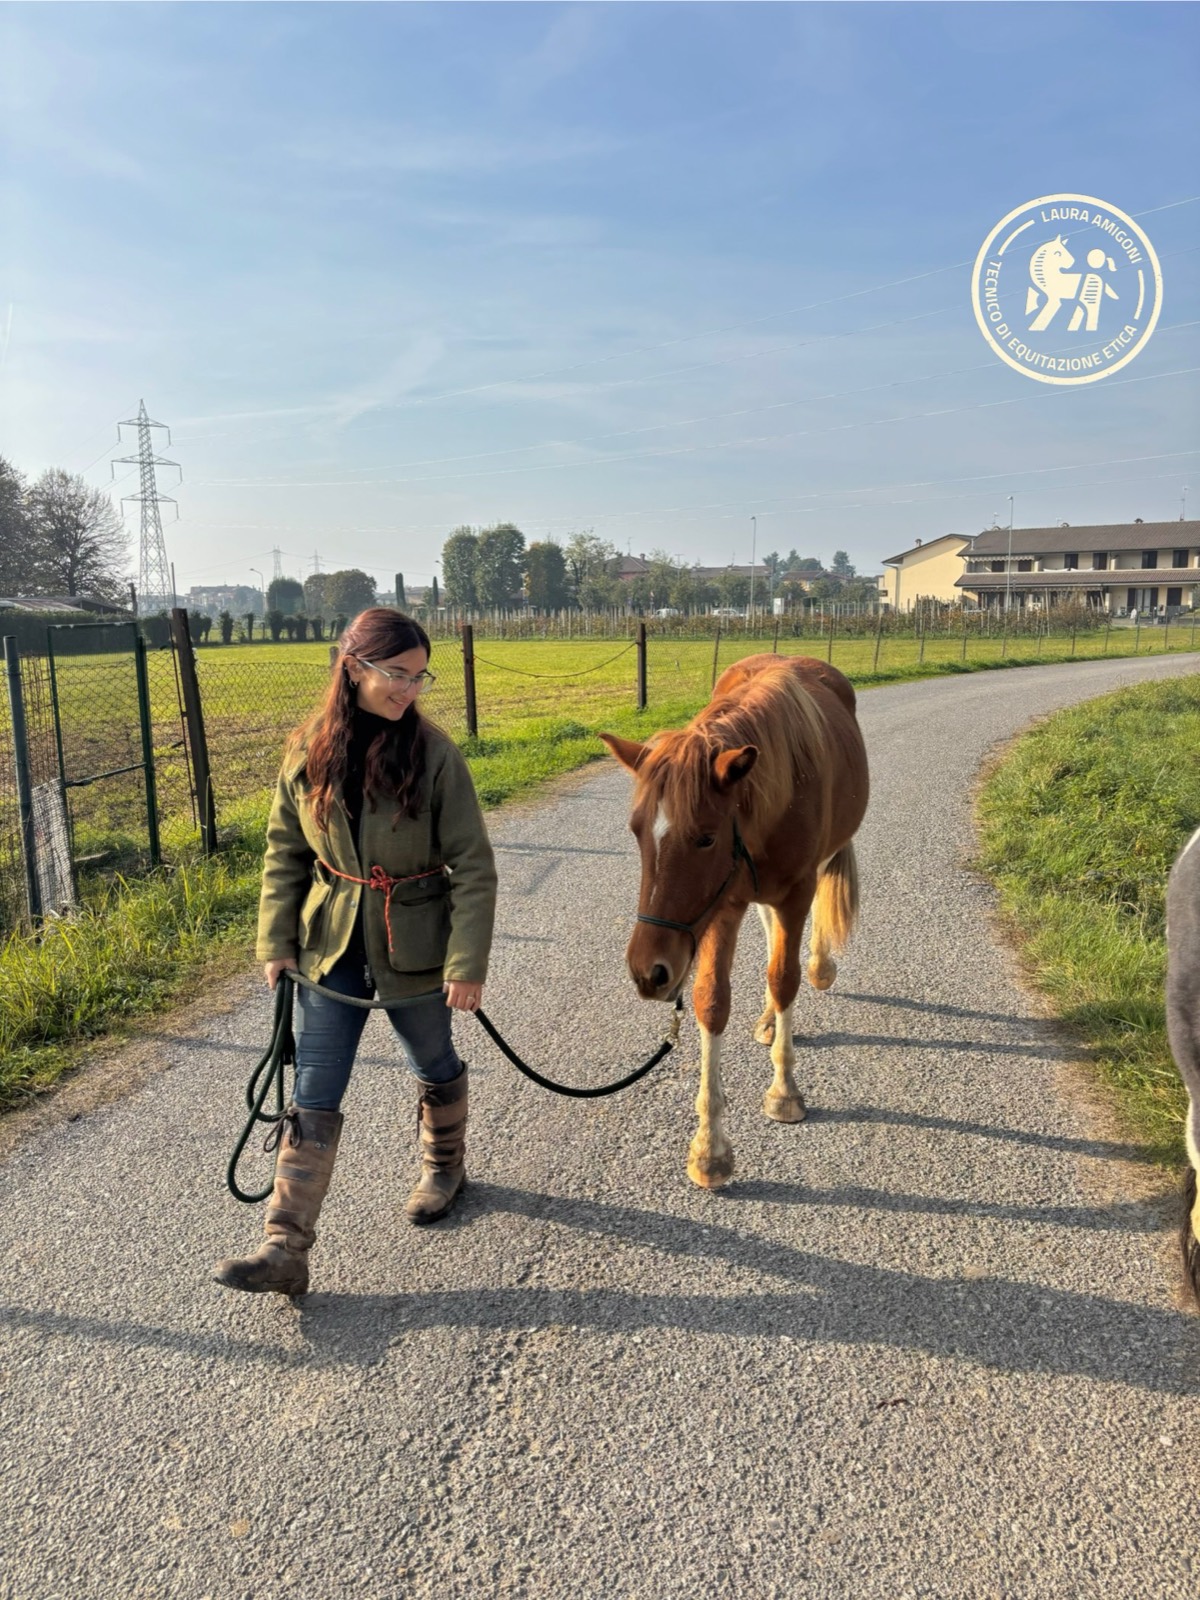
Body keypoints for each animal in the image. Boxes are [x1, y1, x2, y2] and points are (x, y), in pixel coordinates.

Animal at [600, 653, 869, 1189]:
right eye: (637, 831)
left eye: (705, 837)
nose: (648, 970)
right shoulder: (723, 906)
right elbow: (711, 1001)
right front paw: (710, 1149)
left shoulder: (796, 895)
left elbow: (785, 978)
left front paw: (784, 1091)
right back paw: (767, 1019)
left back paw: (818, 969)